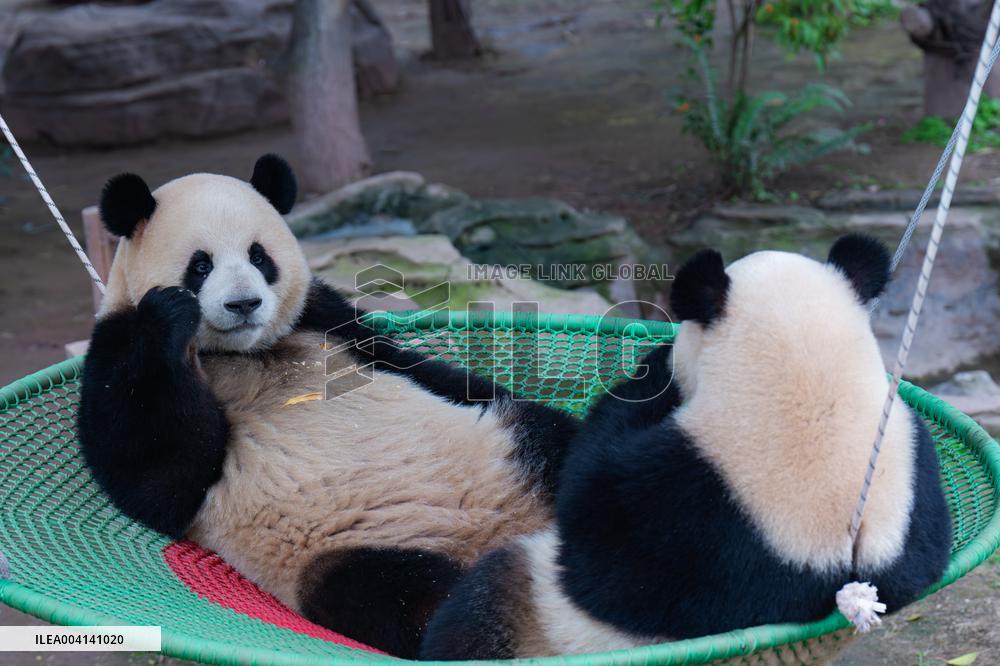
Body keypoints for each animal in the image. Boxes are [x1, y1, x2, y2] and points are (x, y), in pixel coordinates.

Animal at [77, 154, 579, 659]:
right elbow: (158, 480)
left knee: (560, 442)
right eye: (200, 265)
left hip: (512, 448)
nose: (244, 304)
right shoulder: (115, 348)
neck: (242, 352)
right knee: (409, 599)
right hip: (357, 552)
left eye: (259, 257)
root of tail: (506, 531)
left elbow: (412, 366)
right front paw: (170, 314)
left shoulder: (326, 319)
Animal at [420, 234, 953, 660]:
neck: (816, 395)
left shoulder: (683, 511)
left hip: (537, 609)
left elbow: (597, 540)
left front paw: (655, 371)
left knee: (478, 608)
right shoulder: (913, 483)